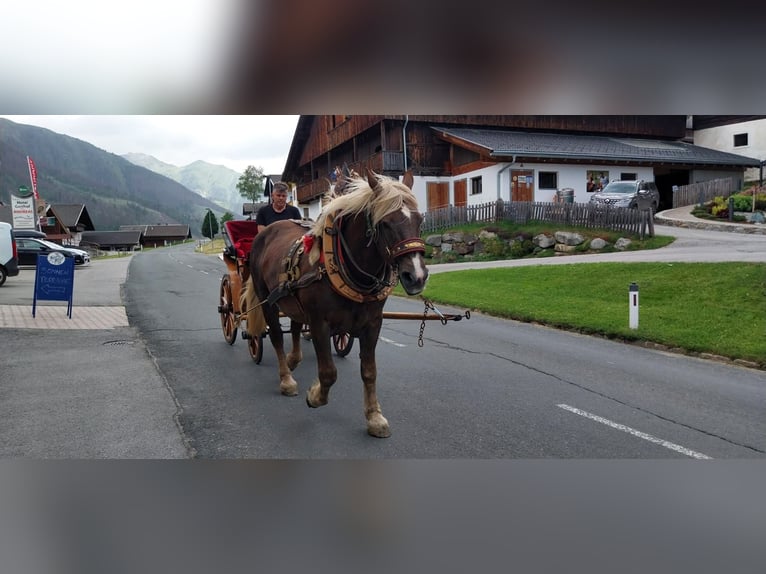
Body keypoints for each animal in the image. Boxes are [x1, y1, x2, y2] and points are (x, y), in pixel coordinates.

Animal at [243, 169, 428, 438]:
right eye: (384, 223)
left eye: (419, 220)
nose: (417, 276)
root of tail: (264, 234)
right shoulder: (320, 323)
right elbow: (329, 373)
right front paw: (315, 395)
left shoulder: (373, 324)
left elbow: (369, 371)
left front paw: (374, 417)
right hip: (267, 300)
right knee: (276, 336)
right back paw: (286, 378)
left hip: (293, 300)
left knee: (295, 327)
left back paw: (293, 359)